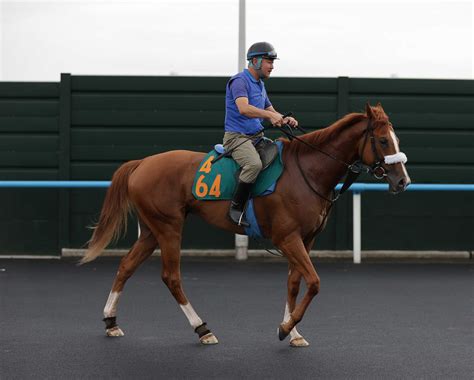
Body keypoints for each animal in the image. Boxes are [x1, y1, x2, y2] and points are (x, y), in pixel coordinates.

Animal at [79, 103, 410, 348]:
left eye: (396, 140)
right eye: (383, 140)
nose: (403, 181)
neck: (307, 171)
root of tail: (142, 163)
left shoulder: (306, 240)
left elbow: (294, 283)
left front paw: (291, 331)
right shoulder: (288, 239)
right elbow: (314, 282)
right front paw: (286, 328)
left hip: (151, 230)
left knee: (126, 266)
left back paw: (111, 321)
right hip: (168, 228)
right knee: (171, 277)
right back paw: (202, 328)